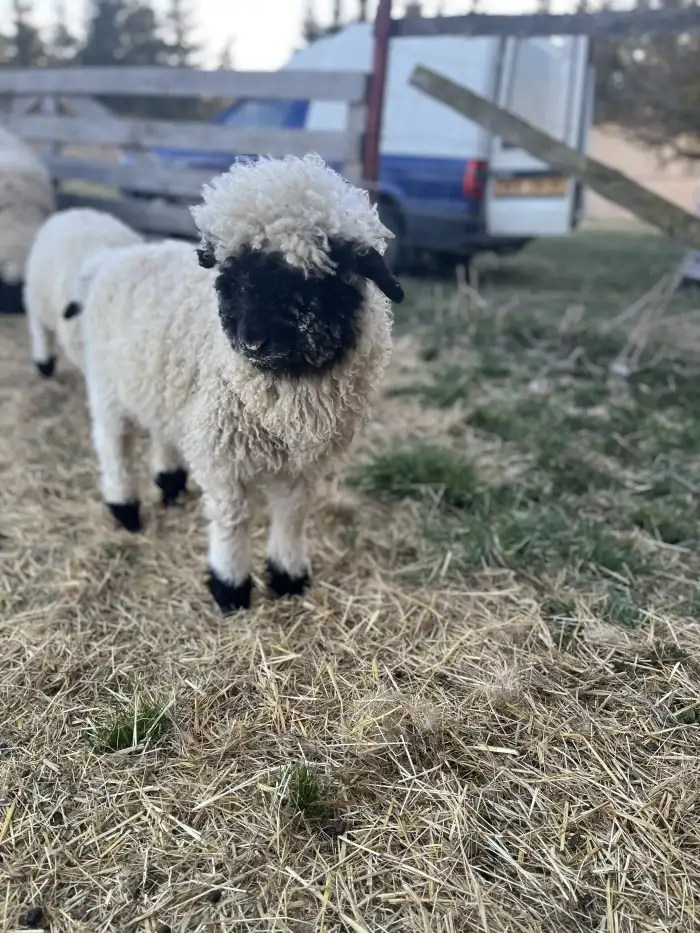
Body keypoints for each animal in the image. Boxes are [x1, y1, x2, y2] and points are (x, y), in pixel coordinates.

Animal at [74, 153, 404, 614]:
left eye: (316, 279)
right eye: (230, 277)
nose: (251, 341)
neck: (288, 391)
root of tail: (115, 258)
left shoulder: (303, 464)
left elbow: (292, 515)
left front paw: (289, 576)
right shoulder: (223, 454)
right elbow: (234, 521)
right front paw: (229, 586)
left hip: (163, 386)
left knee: (161, 432)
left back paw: (169, 484)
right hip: (108, 386)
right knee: (113, 446)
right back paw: (125, 507)